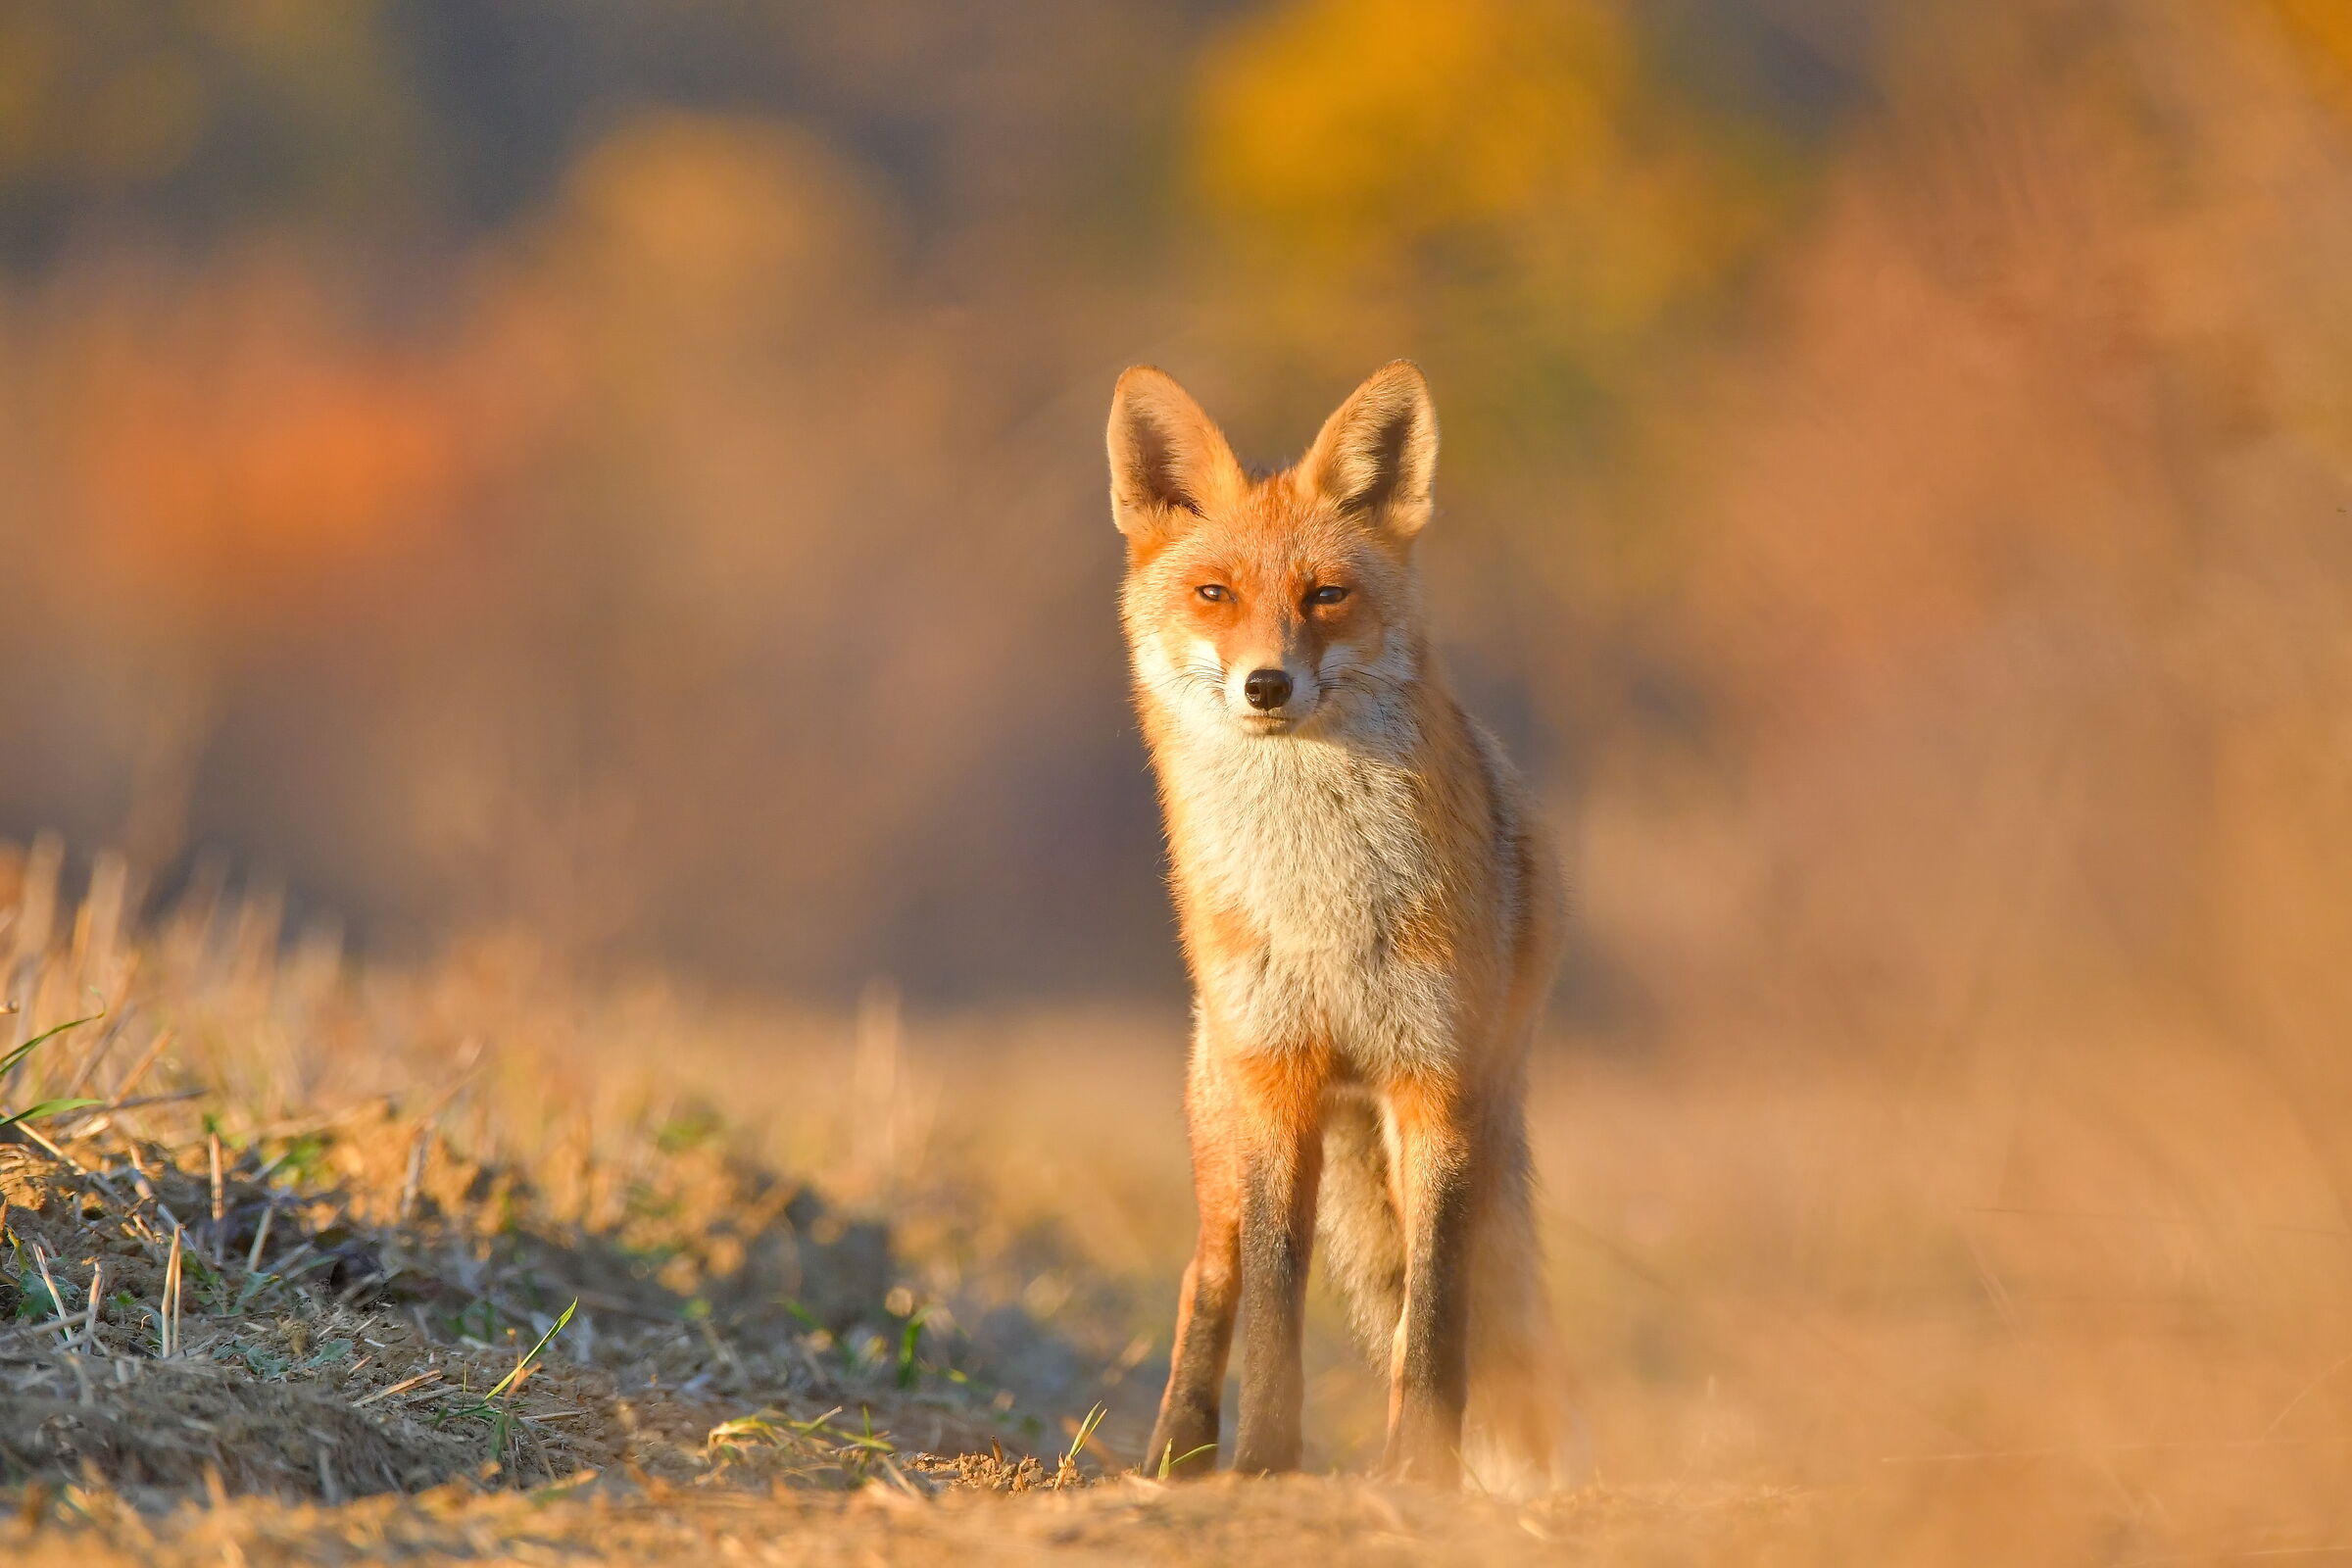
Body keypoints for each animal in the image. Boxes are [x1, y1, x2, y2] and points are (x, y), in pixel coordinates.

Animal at [1107, 361, 1573, 1492]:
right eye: (1215, 594)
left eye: (1327, 595)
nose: (1265, 684)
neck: (1324, 911)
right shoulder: (1280, 1080)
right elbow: (1275, 1306)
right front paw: (1264, 1464)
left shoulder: (1434, 1083)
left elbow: (1436, 1316)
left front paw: (1424, 1474)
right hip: (1223, 1111)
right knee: (1207, 1276)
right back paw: (1176, 1454)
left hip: (1474, 1117)